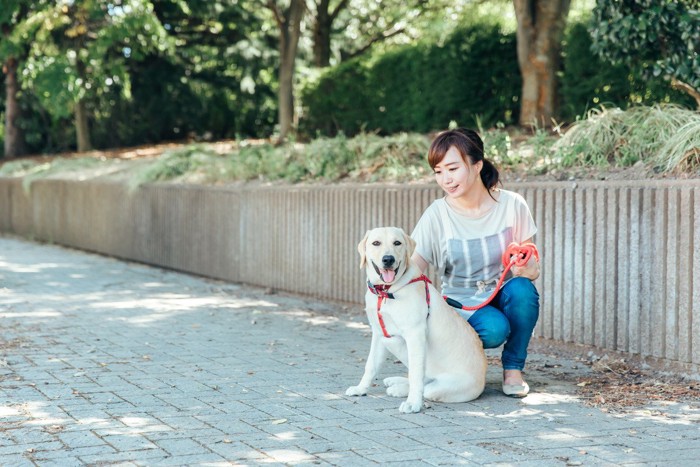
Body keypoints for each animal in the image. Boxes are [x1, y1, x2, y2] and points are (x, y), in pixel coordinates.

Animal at [346, 227, 486, 414]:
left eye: (397, 243)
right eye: (376, 243)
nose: (388, 259)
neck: (387, 291)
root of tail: (483, 379)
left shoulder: (415, 335)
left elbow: (415, 374)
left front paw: (413, 403)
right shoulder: (378, 334)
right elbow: (371, 365)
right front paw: (361, 389)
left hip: (447, 385)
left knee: (425, 386)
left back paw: (400, 390)